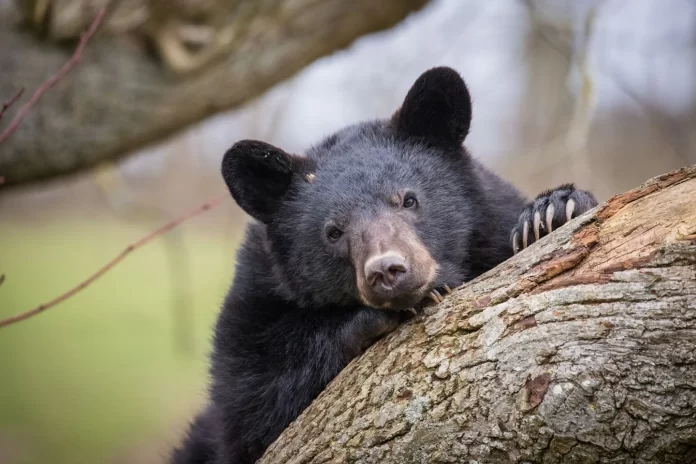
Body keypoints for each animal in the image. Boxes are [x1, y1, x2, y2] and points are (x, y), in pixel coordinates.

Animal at [170, 66, 598, 464]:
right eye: (333, 231)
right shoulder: (256, 295)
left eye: (409, 199)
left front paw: (550, 212)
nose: (388, 271)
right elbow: (252, 399)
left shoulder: (490, 222)